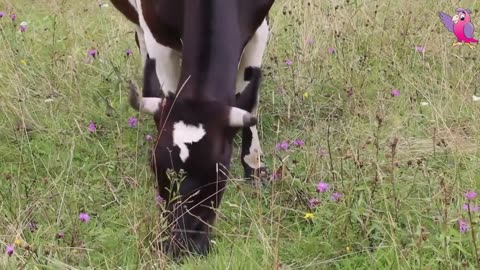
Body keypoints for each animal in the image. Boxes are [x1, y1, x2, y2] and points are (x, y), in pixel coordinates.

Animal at [109, 0, 274, 258]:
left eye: (219, 175)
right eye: (156, 170)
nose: (184, 247)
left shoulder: (259, 25)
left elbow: (249, 100)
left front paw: (255, 166)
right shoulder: (156, 33)